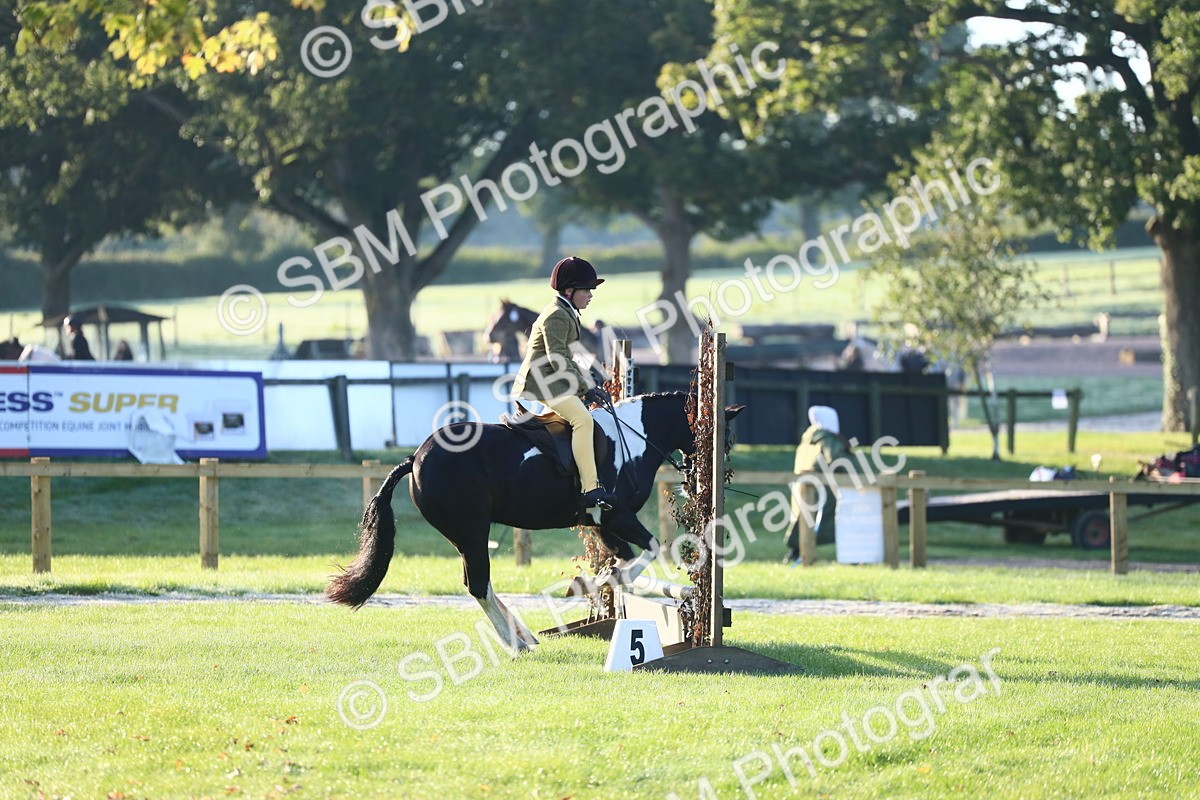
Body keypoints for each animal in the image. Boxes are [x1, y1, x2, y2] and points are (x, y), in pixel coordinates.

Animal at [327, 392, 744, 652]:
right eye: (723, 437)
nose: (702, 479)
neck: (635, 439)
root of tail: (415, 457)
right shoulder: (617, 515)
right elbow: (650, 549)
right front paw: (607, 582)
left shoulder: (603, 524)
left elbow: (623, 561)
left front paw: (603, 582)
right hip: (472, 531)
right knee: (477, 584)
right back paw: (515, 645)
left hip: (463, 536)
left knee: (481, 584)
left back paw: (524, 636)